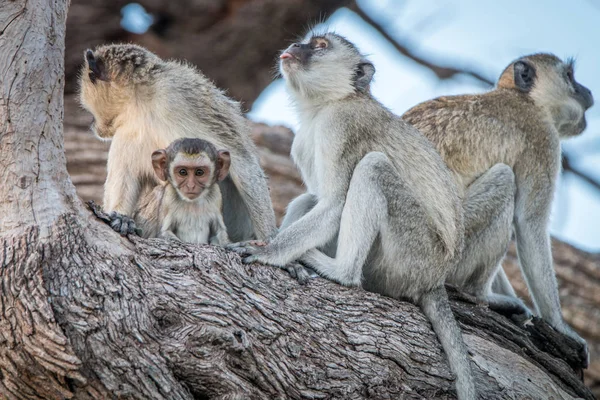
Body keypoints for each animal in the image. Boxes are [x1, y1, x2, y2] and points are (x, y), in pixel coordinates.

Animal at [78, 45, 278, 242]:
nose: (93, 125)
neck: (140, 104)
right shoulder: (126, 131)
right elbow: (125, 177)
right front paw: (121, 217)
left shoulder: (180, 95)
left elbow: (242, 160)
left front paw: (269, 239)